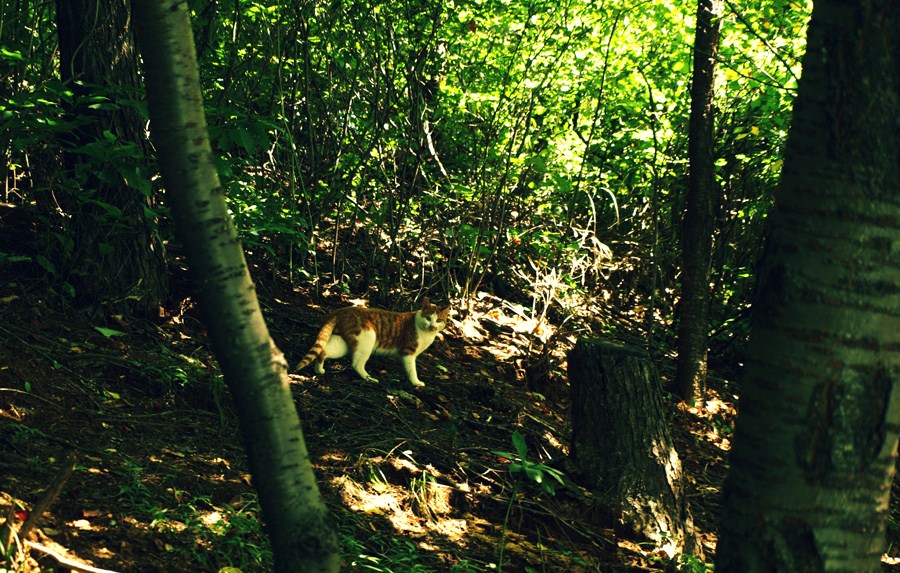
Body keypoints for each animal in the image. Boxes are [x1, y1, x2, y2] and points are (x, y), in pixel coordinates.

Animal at [296, 298, 450, 386]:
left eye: (439, 320)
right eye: (428, 318)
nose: (433, 326)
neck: (426, 333)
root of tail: (342, 310)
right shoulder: (408, 352)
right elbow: (412, 369)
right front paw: (416, 382)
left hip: (343, 343)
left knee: (323, 351)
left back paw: (319, 370)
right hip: (368, 337)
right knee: (356, 364)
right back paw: (369, 378)